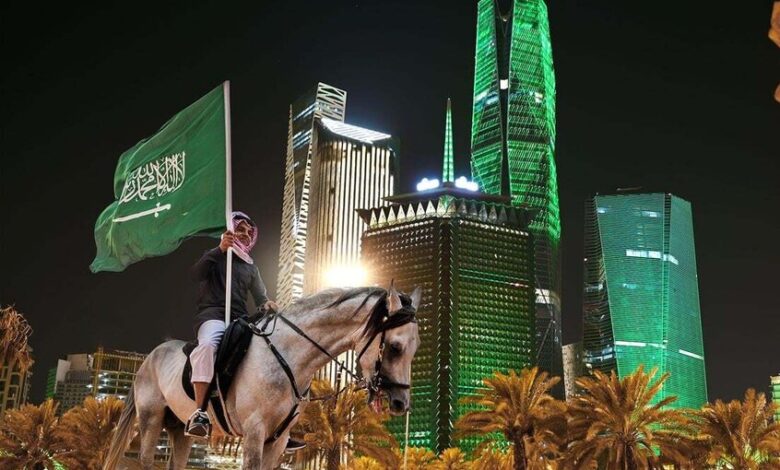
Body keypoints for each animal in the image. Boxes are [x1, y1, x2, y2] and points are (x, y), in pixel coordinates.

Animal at [103, 284, 420, 470]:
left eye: (415, 348)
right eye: (395, 347)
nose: (401, 403)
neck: (287, 354)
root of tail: (147, 358)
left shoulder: (277, 440)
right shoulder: (255, 433)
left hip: (180, 430)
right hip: (151, 418)